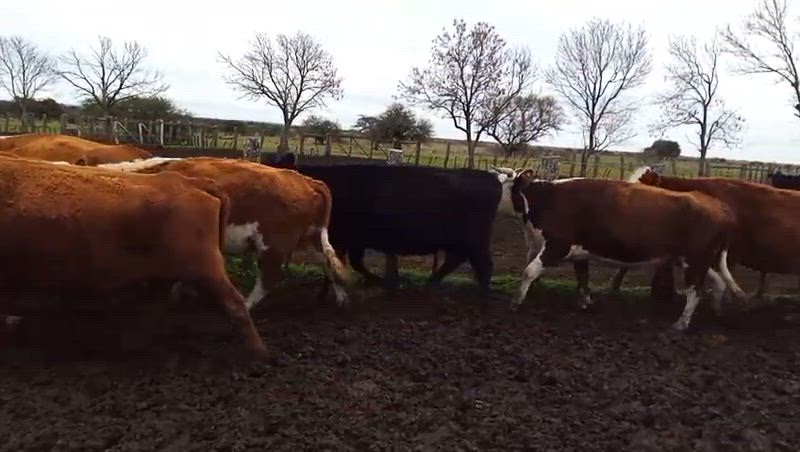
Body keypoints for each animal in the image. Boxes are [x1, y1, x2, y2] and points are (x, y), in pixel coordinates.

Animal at [0, 154, 269, 359]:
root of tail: (191, 183)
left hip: (205, 269)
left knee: (236, 304)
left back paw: (259, 354)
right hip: (169, 271)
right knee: (155, 304)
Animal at [98, 156, 352, 309]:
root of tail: (307, 180)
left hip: (273, 244)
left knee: (270, 277)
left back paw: (246, 305)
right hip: (304, 242)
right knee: (329, 262)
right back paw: (341, 297)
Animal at [268, 156, 503, 300]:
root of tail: (490, 177)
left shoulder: (344, 238)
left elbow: (344, 264)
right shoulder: (348, 239)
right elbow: (347, 263)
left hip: (475, 239)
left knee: (484, 265)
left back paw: (482, 299)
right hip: (460, 241)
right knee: (459, 261)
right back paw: (431, 284)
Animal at [507, 170, 745, 331]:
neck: (547, 198)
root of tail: (720, 206)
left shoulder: (557, 246)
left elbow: (529, 271)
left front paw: (517, 301)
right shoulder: (579, 252)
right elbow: (583, 278)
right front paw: (585, 303)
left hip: (694, 261)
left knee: (695, 292)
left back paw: (681, 323)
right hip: (697, 260)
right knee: (719, 283)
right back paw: (716, 312)